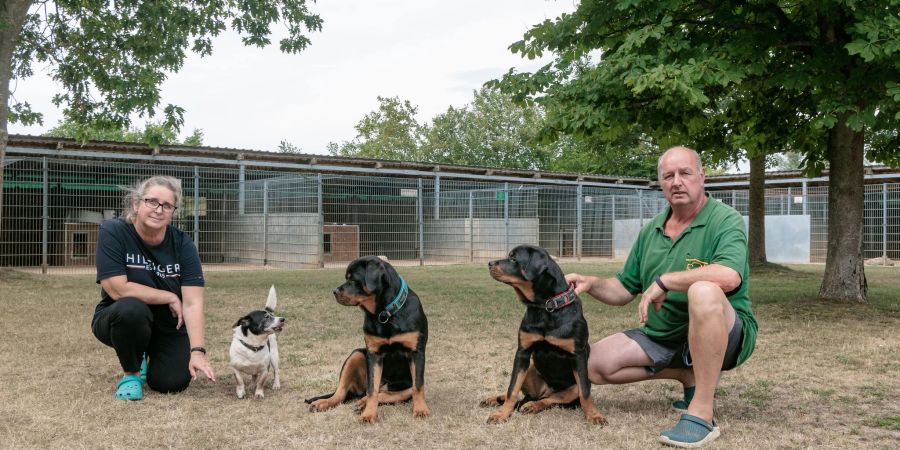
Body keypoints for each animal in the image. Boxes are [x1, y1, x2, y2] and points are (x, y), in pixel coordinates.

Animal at [304, 256, 430, 422]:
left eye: (353, 279)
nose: (334, 291)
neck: (384, 313)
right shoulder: (373, 354)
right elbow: (372, 390)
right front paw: (369, 415)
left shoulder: (416, 352)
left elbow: (418, 386)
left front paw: (421, 410)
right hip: (356, 354)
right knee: (342, 392)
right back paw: (324, 403)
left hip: (403, 388)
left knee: (388, 393)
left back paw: (361, 402)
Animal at [482, 244, 608, 424]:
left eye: (513, 258)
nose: (490, 263)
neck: (544, 306)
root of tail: (546, 390)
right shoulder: (522, 353)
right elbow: (512, 389)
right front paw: (502, 414)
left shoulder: (578, 355)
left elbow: (585, 392)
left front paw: (593, 415)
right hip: (530, 369)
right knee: (525, 396)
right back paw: (495, 399)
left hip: (571, 388)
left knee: (549, 399)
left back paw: (532, 406)